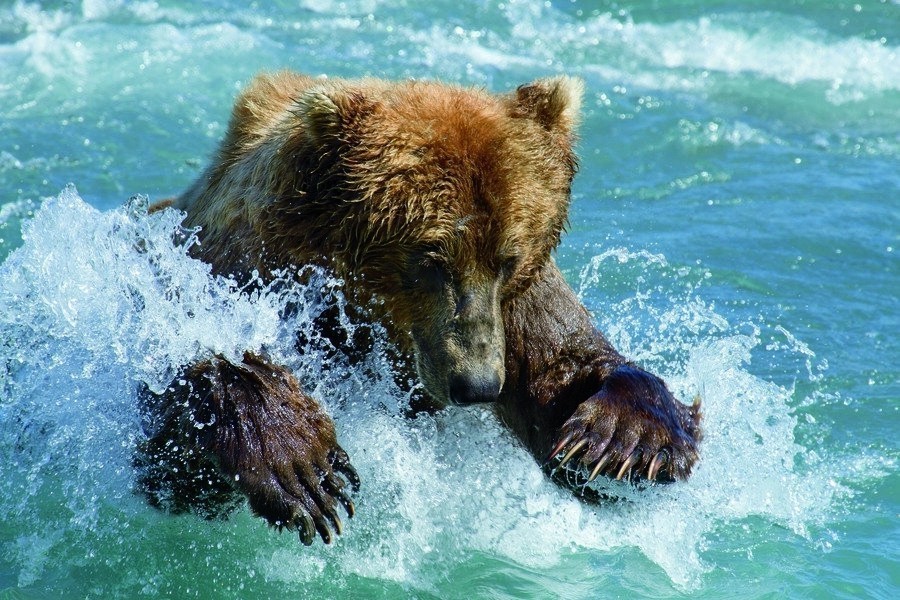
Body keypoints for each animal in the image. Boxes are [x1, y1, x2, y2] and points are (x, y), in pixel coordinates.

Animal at [140, 70, 702, 546]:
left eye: (507, 258)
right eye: (431, 259)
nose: (477, 384)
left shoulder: (517, 308)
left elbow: (567, 372)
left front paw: (619, 440)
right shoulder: (242, 271)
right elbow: (172, 442)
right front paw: (302, 464)